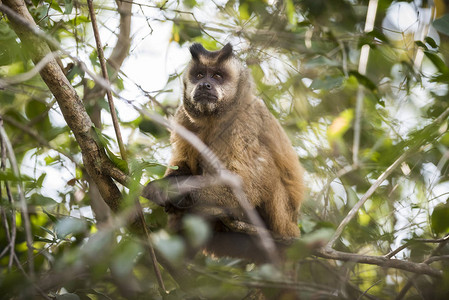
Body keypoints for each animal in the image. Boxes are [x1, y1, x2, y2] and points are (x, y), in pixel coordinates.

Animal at [144, 42, 304, 262]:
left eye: (217, 76)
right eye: (200, 75)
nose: (205, 85)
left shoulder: (245, 120)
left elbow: (244, 187)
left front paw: (170, 190)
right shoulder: (183, 117)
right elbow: (181, 162)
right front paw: (170, 189)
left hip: (282, 220)